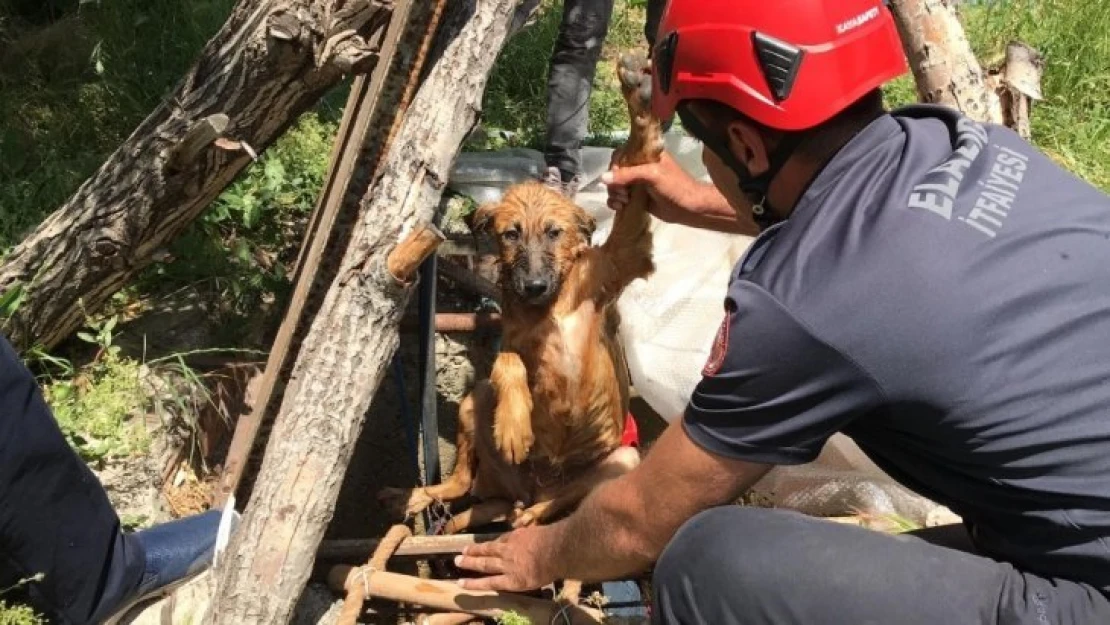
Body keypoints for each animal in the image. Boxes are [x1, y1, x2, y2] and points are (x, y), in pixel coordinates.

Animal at [381, 51, 657, 535]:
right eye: (510, 235)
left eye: (554, 233)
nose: (533, 286)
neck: (554, 305)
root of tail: (527, 490)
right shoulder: (512, 339)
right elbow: (507, 361)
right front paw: (515, 426)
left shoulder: (621, 256)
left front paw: (639, 95)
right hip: (475, 408)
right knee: (462, 483)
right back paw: (414, 497)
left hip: (621, 458)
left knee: (550, 507)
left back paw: (527, 516)